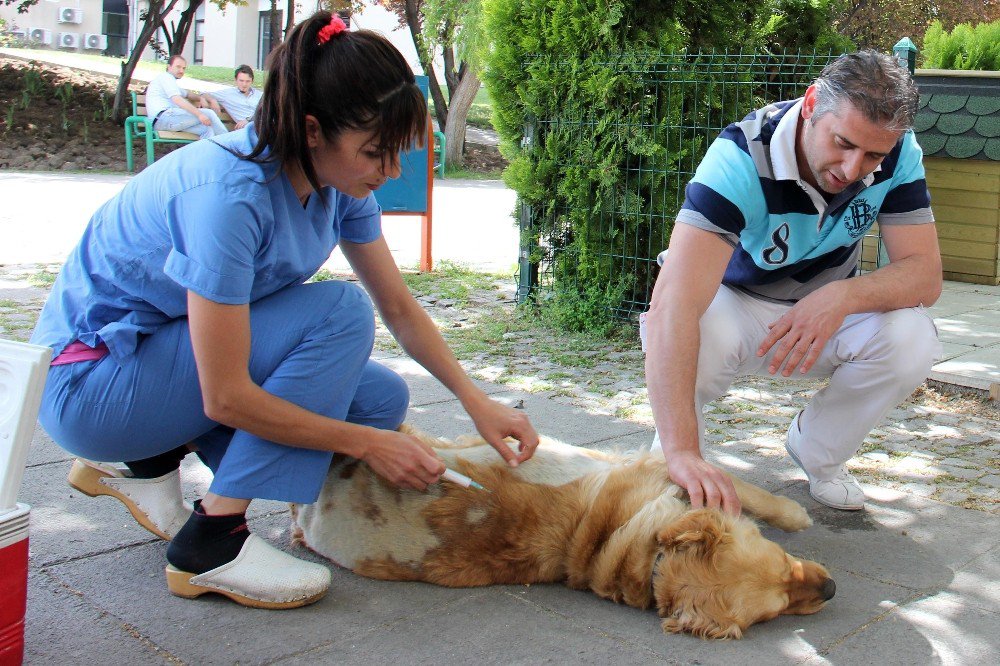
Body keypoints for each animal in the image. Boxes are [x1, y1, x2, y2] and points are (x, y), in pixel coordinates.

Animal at [292, 426, 836, 640]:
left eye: (786, 582)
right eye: (777, 606)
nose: (831, 589)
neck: (648, 555)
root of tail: (314, 510)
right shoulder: (670, 470)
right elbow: (751, 492)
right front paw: (795, 514)